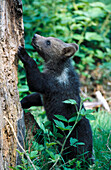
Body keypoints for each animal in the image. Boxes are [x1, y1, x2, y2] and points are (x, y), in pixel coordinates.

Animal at [18, 34, 93, 167]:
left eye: (48, 42)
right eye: (48, 37)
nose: (35, 36)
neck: (58, 68)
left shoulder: (53, 83)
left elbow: (35, 82)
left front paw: (23, 53)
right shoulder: (49, 90)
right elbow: (37, 97)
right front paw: (23, 102)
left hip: (72, 139)